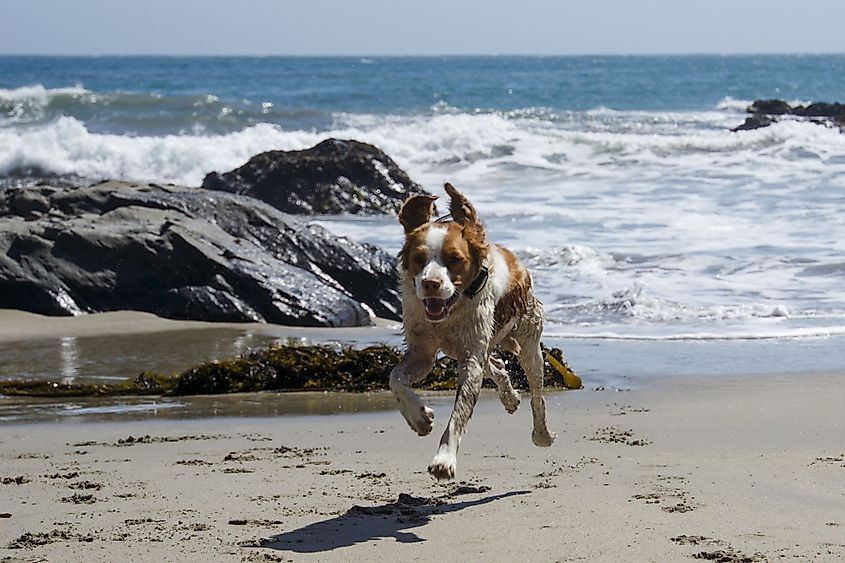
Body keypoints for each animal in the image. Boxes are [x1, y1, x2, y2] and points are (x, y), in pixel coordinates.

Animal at [390, 184, 552, 480]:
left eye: (455, 259)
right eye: (418, 258)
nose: (430, 284)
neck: (449, 312)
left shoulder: (470, 359)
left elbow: (459, 413)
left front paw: (444, 460)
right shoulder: (423, 353)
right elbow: (395, 379)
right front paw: (420, 419)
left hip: (529, 342)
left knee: (537, 394)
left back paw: (541, 434)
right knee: (497, 365)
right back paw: (510, 398)